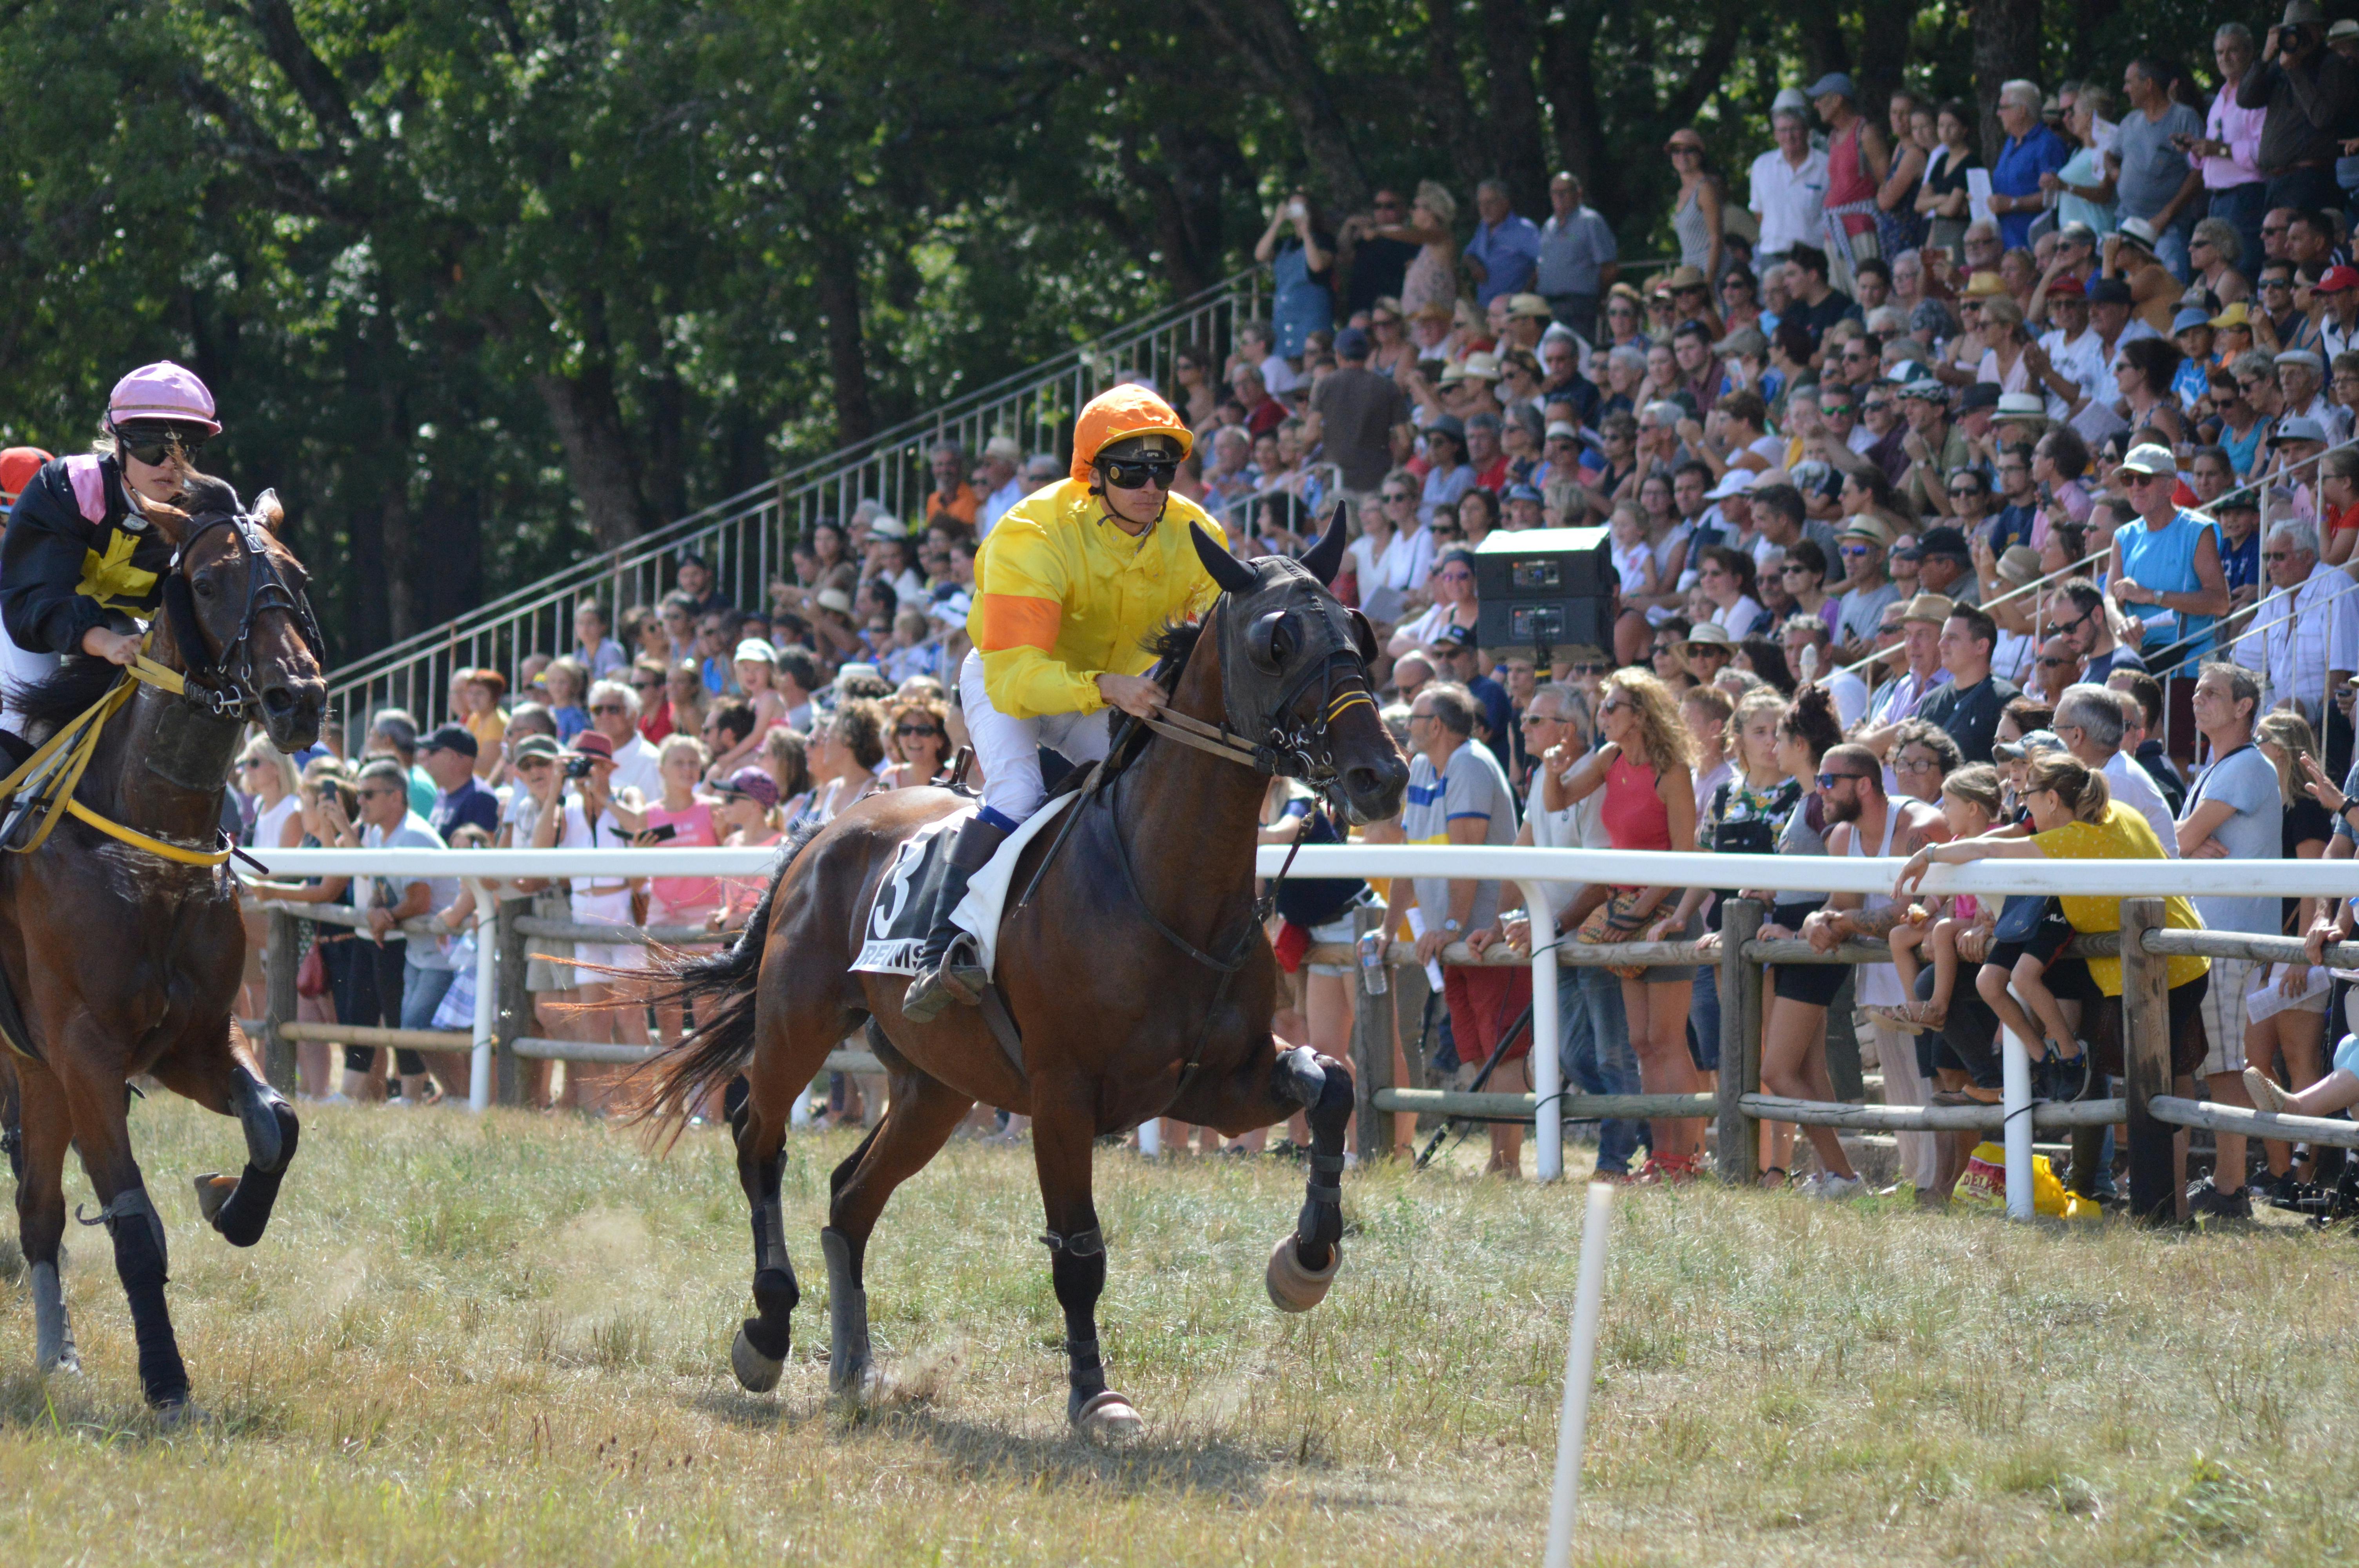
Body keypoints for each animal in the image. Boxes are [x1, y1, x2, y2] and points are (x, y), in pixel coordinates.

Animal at [0, 474, 323, 1405]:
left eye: (298, 575)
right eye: (210, 582)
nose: (298, 699)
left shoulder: (190, 1039)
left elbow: (277, 1122)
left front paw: (230, 1202)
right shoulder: (85, 1052)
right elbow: (135, 1222)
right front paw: (166, 1377)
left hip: (32, 1069)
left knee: (38, 1210)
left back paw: (59, 1353)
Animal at [637, 507, 1396, 1434]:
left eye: (1357, 630)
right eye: (1276, 641)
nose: (1381, 772)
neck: (1168, 888)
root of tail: (822, 831)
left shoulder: (1211, 1082)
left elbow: (1334, 1083)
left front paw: (1305, 1261)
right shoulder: (1062, 1094)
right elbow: (1079, 1252)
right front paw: (1095, 1393)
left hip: (937, 1084)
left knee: (851, 1194)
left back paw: (854, 1366)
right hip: (798, 1020)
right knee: (759, 1135)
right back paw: (768, 1330)